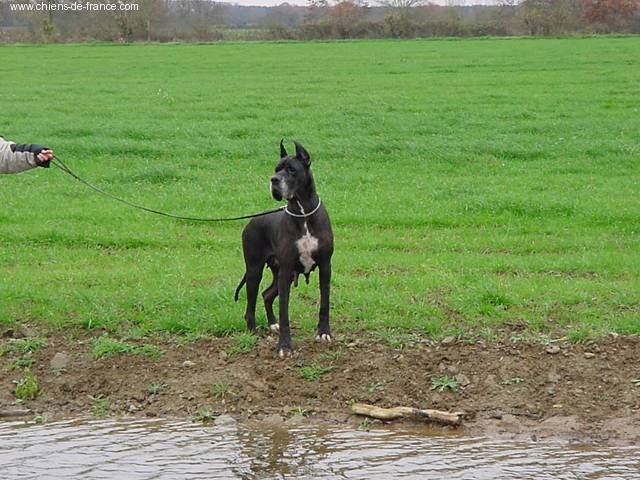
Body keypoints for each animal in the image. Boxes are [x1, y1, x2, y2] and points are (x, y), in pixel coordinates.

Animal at [235, 141, 336, 354]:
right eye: (276, 169)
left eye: (291, 170)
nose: (273, 180)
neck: (303, 213)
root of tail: (252, 220)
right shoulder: (287, 268)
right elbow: (284, 310)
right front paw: (284, 345)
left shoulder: (325, 266)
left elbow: (324, 303)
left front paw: (324, 333)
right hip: (255, 269)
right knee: (251, 304)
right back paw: (253, 331)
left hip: (279, 272)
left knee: (266, 294)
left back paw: (272, 324)